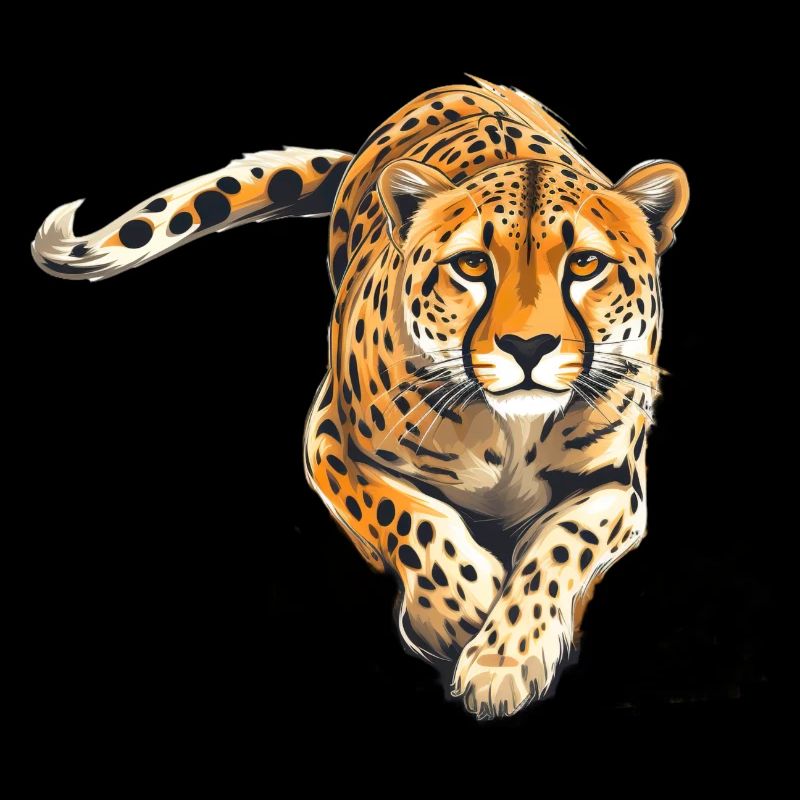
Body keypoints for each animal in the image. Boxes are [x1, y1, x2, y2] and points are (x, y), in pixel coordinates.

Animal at [32, 76, 688, 720]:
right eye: (473, 264)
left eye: (586, 263)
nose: (528, 346)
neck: (510, 431)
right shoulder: (329, 437)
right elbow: (408, 516)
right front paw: (460, 612)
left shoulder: (616, 485)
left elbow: (557, 551)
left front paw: (504, 663)